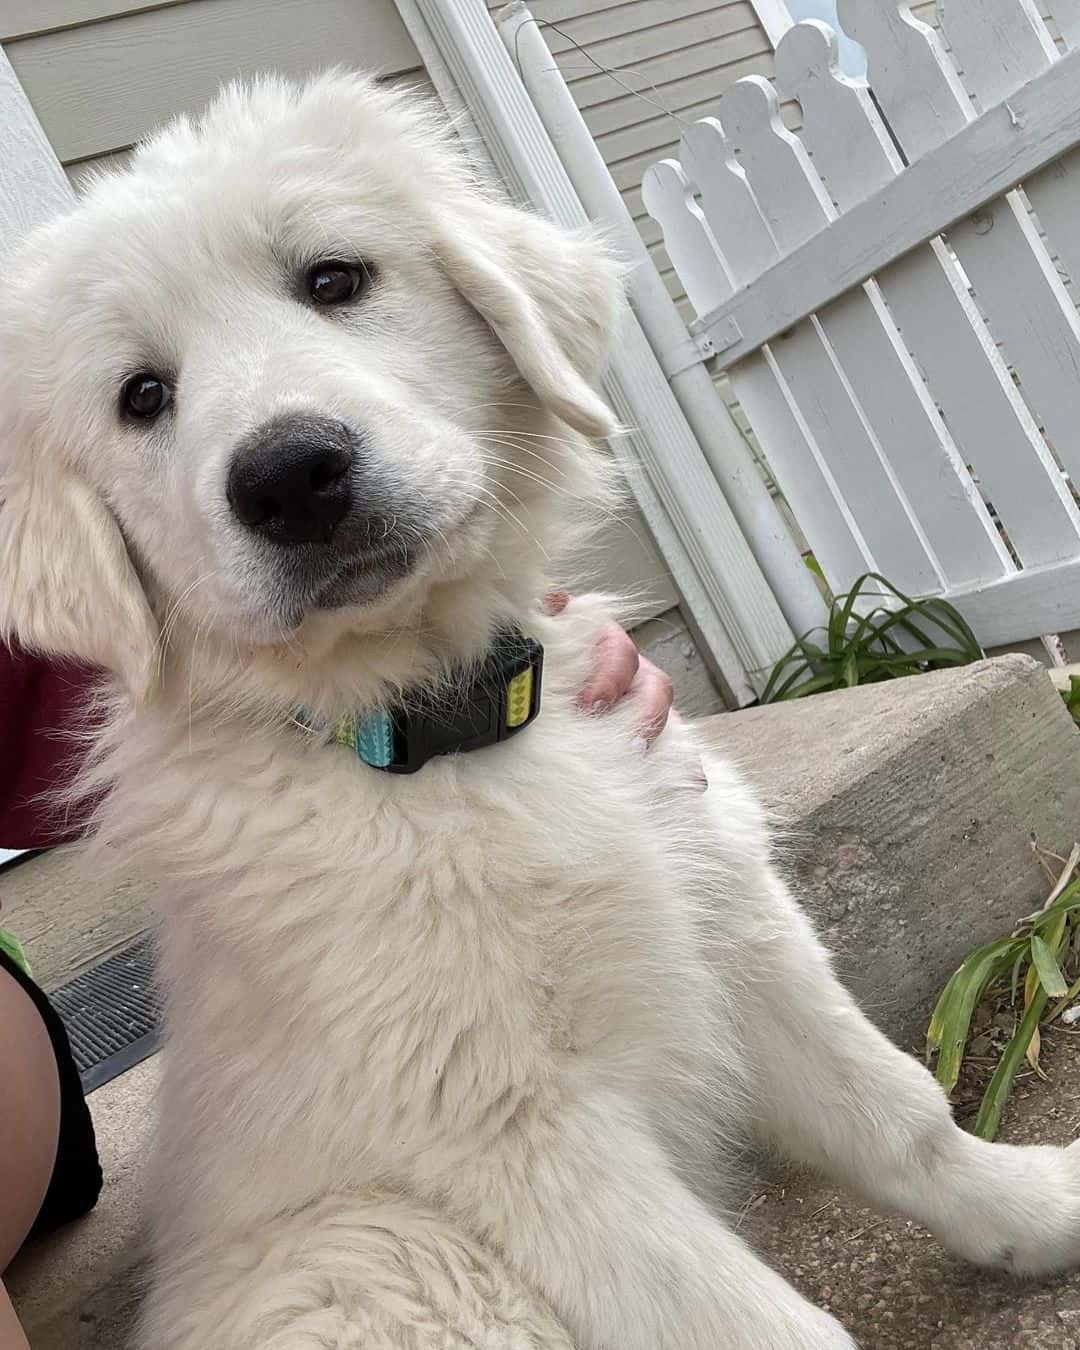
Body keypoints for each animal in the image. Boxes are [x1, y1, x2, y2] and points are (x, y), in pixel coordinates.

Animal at [2, 73, 1080, 1350]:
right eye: (142, 398)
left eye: (333, 280)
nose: (287, 477)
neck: (434, 735)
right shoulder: (511, 1128)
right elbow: (764, 1326)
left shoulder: (729, 920)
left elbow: (901, 1111)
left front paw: (1038, 1203)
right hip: (388, 1256)